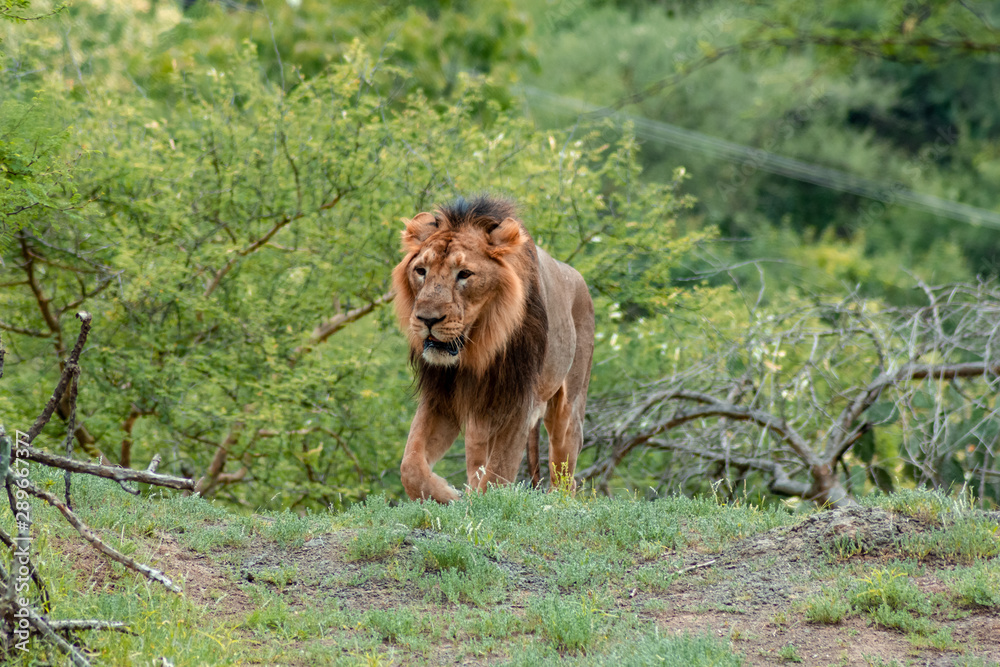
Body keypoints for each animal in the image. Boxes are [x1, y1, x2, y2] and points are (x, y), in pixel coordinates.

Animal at [391, 195, 595, 503]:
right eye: (421, 271)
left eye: (464, 274)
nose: (427, 319)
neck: (478, 350)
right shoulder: (440, 396)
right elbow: (411, 465)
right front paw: (449, 496)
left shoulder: (519, 399)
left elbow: (499, 471)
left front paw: (486, 504)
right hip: (480, 423)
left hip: (568, 407)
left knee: (564, 472)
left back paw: (558, 503)